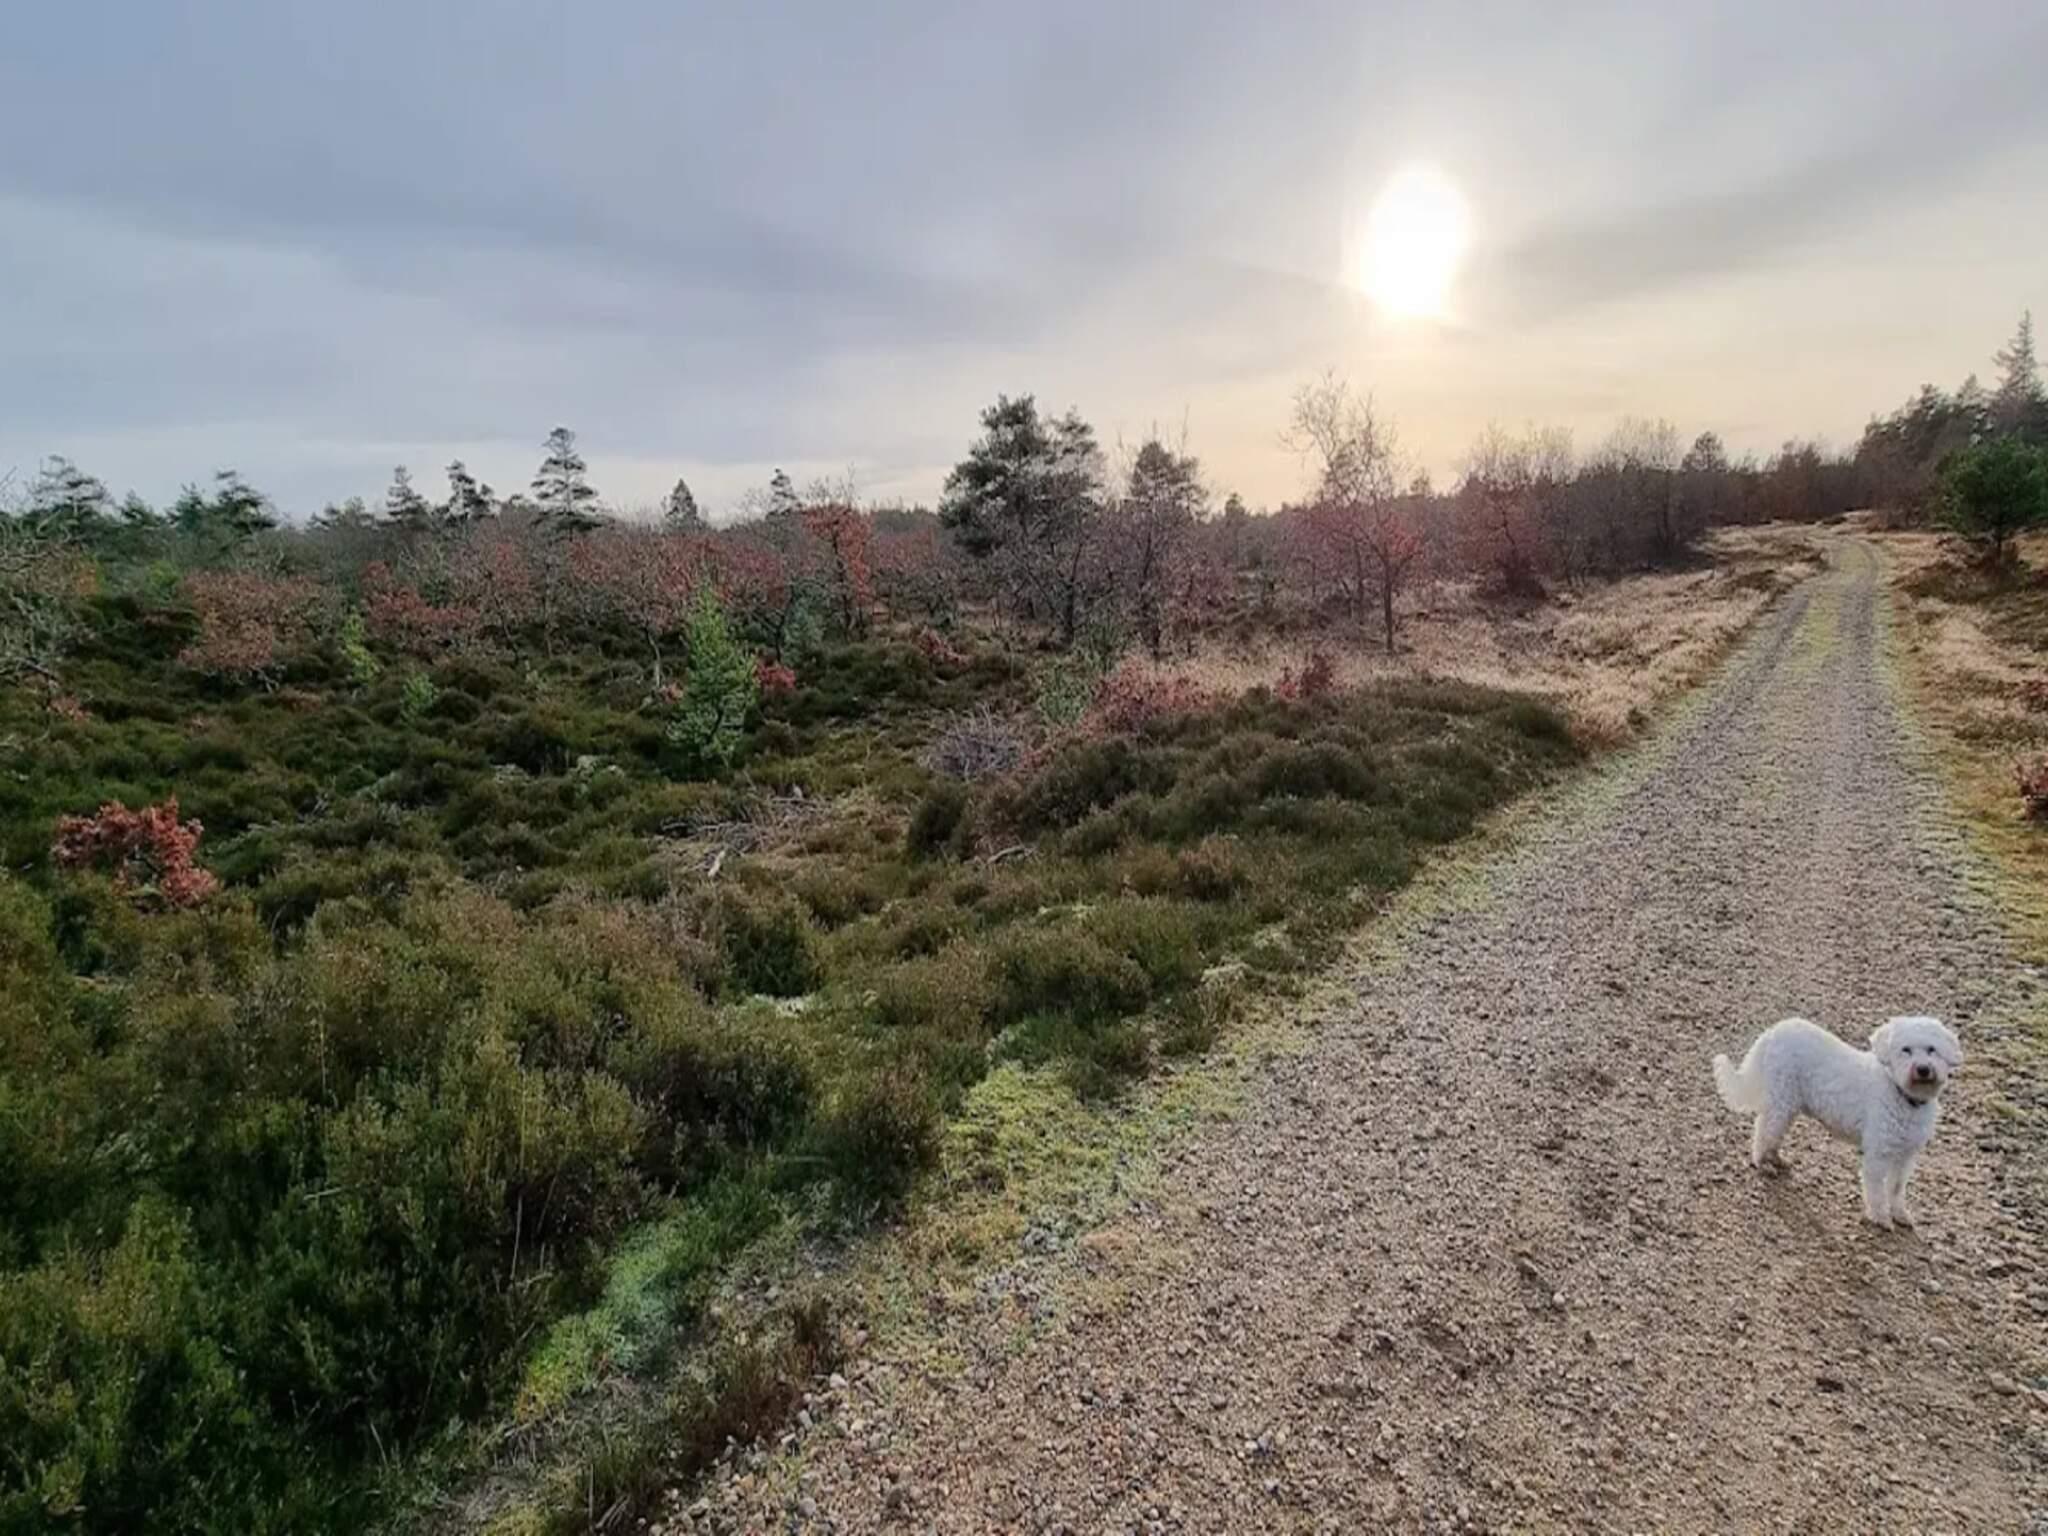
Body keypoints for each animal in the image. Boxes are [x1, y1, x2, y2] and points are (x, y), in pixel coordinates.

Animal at [1712, 1016, 1962, 1230]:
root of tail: (1772, 1032)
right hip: (1781, 1102)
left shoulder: (1905, 1157)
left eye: (1931, 1050)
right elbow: (1877, 1191)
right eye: (1906, 1050)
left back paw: (1776, 1159)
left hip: (1788, 1106)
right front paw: (1881, 1218)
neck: (1902, 1095)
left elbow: (1896, 1189)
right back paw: (1763, 1163)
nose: (1923, 1069)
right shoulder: (1878, 1155)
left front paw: (1900, 1214)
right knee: (1763, 1130)